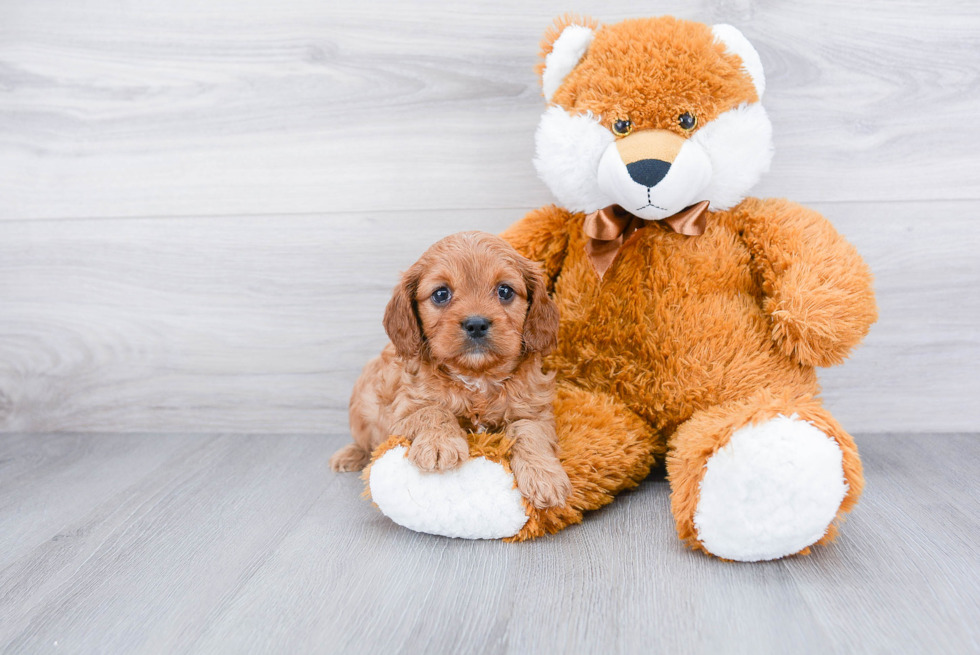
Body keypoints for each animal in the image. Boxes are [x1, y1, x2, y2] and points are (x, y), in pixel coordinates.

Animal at [332, 232, 576, 512]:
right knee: (364, 442)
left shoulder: (536, 412)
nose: (476, 324)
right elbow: (433, 411)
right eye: (441, 294)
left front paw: (544, 476)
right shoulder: (399, 418)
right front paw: (439, 444)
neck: (477, 377)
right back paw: (349, 454)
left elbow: (528, 430)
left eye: (505, 291)